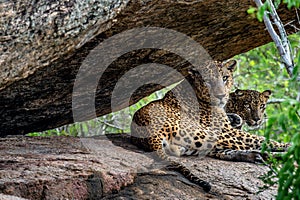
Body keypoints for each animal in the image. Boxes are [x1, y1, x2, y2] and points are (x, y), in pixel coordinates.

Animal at [131, 59, 288, 192]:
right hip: (206, 134)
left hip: (192, 147)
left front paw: (235, 118)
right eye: (208, 81)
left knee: (225, 152)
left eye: (225, 78)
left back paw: (258, 156)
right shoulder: (226, 131)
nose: (221, 96)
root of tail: (148, 137)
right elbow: (262, 140)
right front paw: (288, 145)